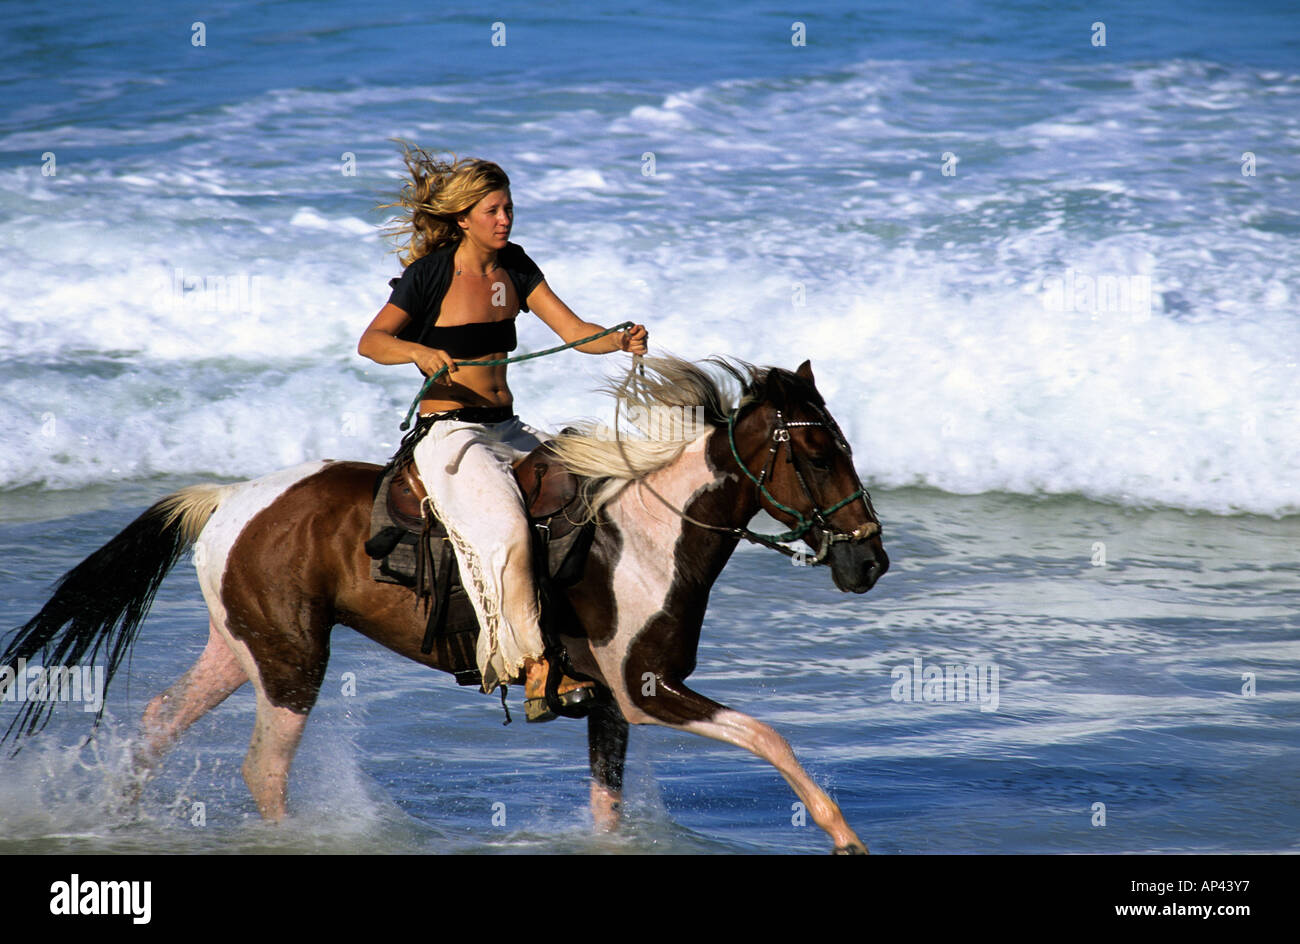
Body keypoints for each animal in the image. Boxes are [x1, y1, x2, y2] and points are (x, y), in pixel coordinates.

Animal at [0, 356, 889, 858]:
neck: (645, 533)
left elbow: (608, 807)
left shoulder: (608, 705)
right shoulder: (647, 693)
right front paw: (844, 835)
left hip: (241, 647)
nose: (869, 560)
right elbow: (770, 736)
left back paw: (122, 818)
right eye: (817, 451)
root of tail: (228, 497)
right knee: (264, 766)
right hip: (294, 660)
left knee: (157, 721)